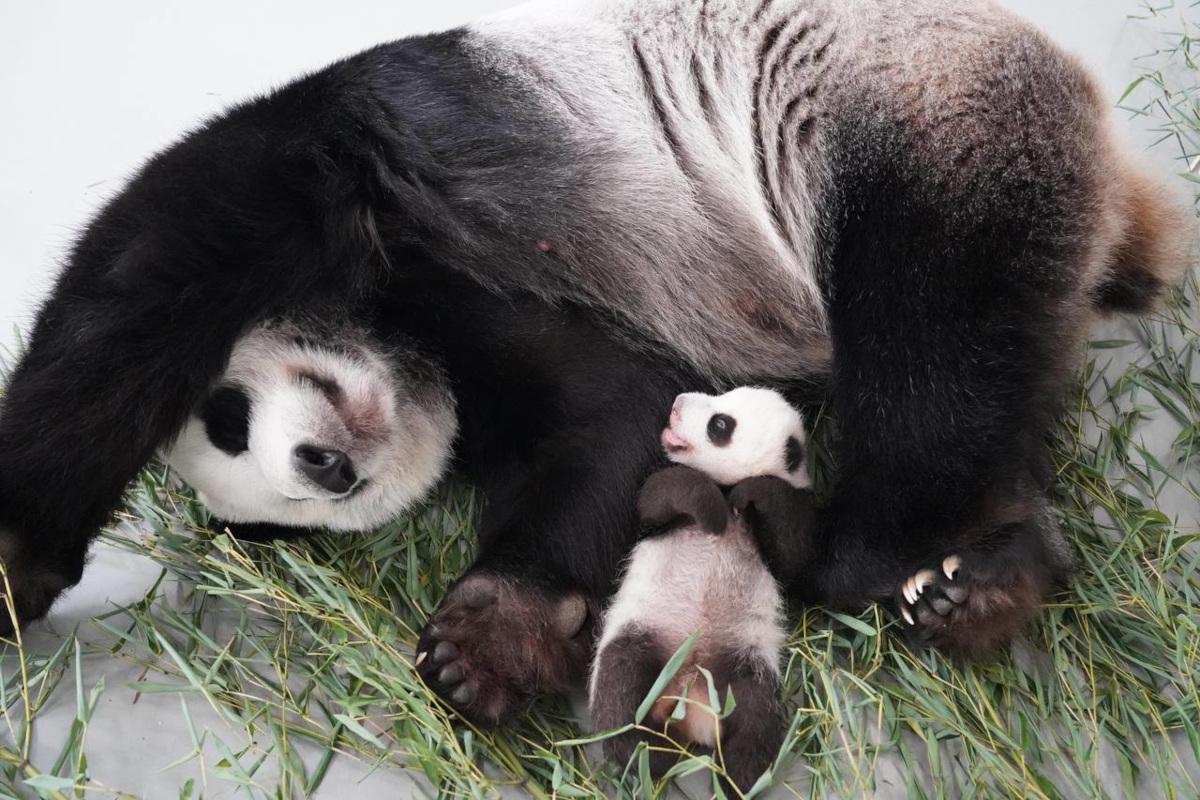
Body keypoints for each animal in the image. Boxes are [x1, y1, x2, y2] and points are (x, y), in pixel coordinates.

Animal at [0, 0, 1190, 729]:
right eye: (280, 510)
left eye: (232, 414)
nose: (322, 467)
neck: (416, 364)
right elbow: (603, 431)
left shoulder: (369, 211)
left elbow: (130, 302)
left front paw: (483, 643)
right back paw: (987, 575)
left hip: (922, 130)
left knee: (928, 355)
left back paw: (880, 553)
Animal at [588, 388, 816, 796]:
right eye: (724, 394)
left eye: (719, 424)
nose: (677, 403)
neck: (724, 487)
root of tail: (687, 700)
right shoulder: (659, 502)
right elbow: (659, 495)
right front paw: (711, 512)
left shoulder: (789, 521)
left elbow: (792, 552)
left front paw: (754, 491)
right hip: (644, 634)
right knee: (621, 687)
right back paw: (651, 754)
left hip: (745, 662)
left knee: (755, 720)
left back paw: (735, 779)